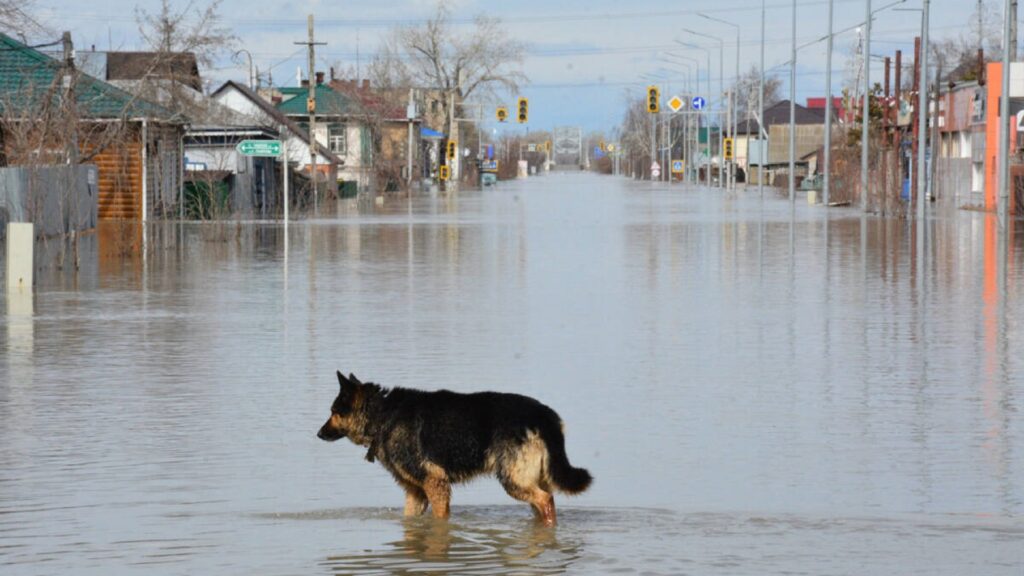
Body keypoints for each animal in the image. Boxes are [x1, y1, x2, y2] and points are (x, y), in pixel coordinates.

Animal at [317, 368, 593, 522]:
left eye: (333, 412)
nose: (319, 434)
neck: (384, 415)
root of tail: (544, 415)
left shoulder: (435, 483)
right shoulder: (416, 493)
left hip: (514, 480)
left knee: (546, 500)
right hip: (533, 477)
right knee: (545, 501)